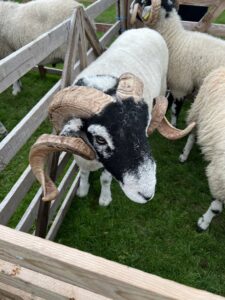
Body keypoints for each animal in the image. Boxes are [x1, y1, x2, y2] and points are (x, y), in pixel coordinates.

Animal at [28, 28, 193, 206]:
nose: (147, 194)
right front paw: (82, 190)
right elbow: (83, 172)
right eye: (100, 139)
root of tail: (145, 29)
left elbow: (105, 179)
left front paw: (104, 199)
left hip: (163, 84)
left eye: (144, 127)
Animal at [178, 68, 225, 231]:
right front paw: (203, 224)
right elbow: (216, 208)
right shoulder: (220, 177)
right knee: (192, 135)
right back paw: (184, 155)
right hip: (198, 111)